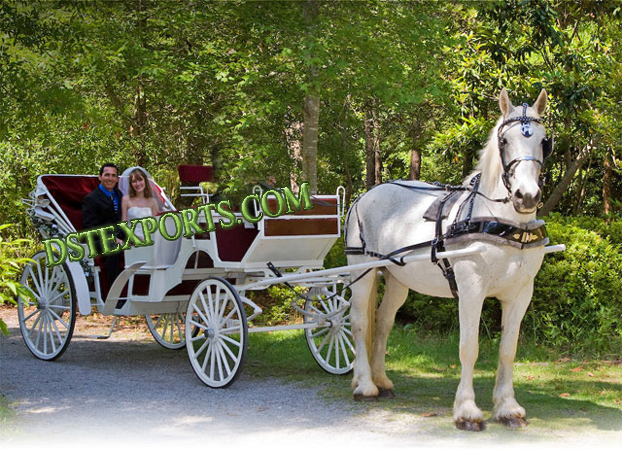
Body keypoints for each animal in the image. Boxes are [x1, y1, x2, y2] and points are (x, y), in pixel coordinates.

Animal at [348, 89, 552, 430]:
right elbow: (469, 347)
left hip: (398, 280)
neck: (501, 221)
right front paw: (467, 411)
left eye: (543, 140)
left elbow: (508, 350)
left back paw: (381, 380)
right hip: (361, 271)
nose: (527, 196)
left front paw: (508, 407)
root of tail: (365, 195)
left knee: (385, 322)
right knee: (361, 322)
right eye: (504, 140)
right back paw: (365, 385)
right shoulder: (471, 290)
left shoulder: (520, 294)